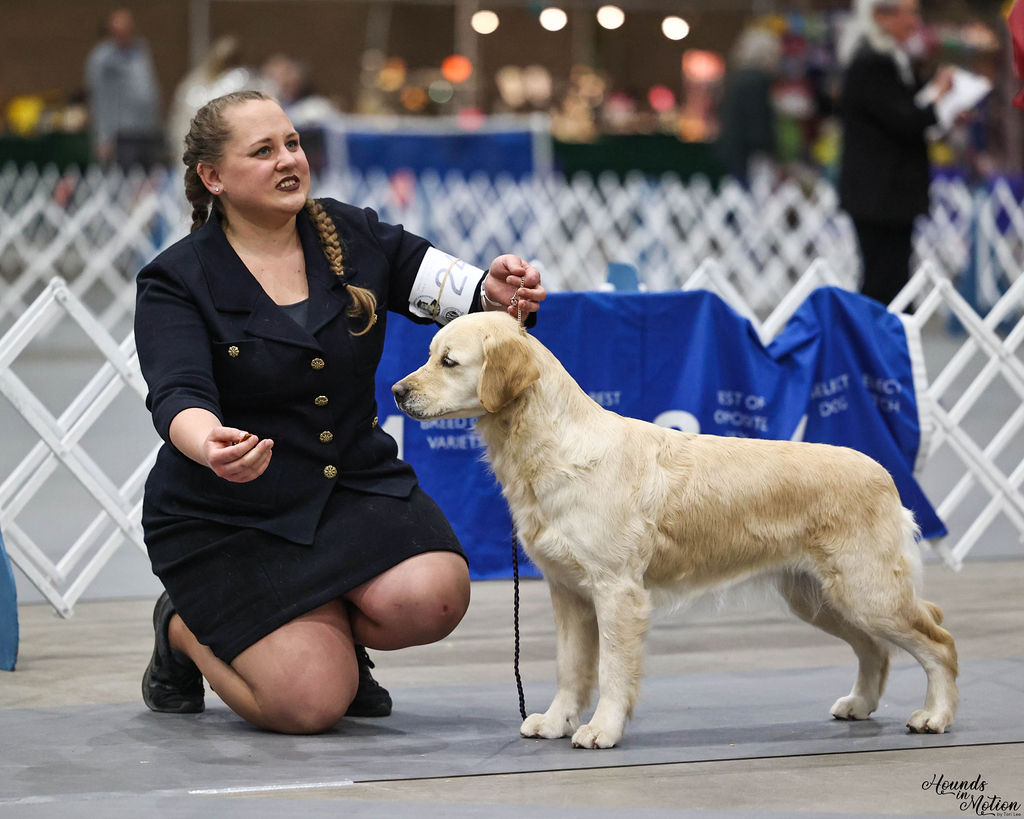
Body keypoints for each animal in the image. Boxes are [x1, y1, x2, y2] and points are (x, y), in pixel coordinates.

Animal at [392, 311, 959, 749]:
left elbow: (612, 670)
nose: (397, 391)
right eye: (430, 354)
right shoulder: (567, 592)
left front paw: (601, 730)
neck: (554, 446)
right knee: (876, 649)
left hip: (868, 591)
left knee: (939, 640)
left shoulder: (617, 591)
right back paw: (860, 704)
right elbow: (570, 668)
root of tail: (885, 474)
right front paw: (555, 722)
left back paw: (936, 715)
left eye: (448, 361)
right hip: (819, 597)